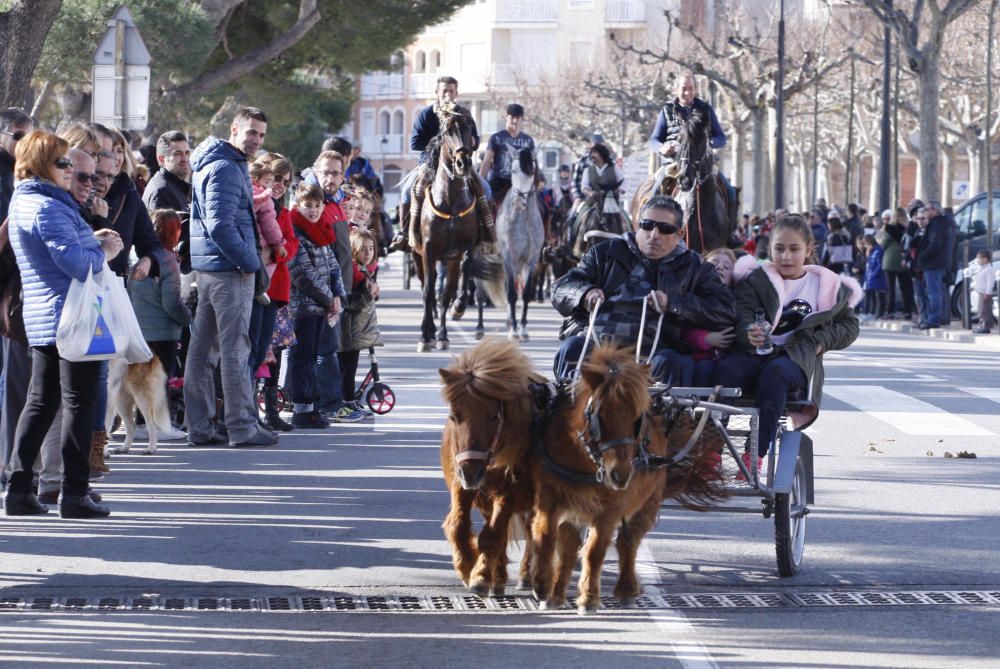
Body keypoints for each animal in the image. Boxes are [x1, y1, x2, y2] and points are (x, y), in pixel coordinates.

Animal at [440, 340, 544, 596]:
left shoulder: (508, 493)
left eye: (494, 417)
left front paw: (479, 576)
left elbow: (493, 534)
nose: (471, 472)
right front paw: (468, 566)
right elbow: (458, 526)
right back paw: (499, 577)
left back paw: (525, 575)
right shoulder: (461, 485)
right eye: (454, 416)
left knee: (529, 530)